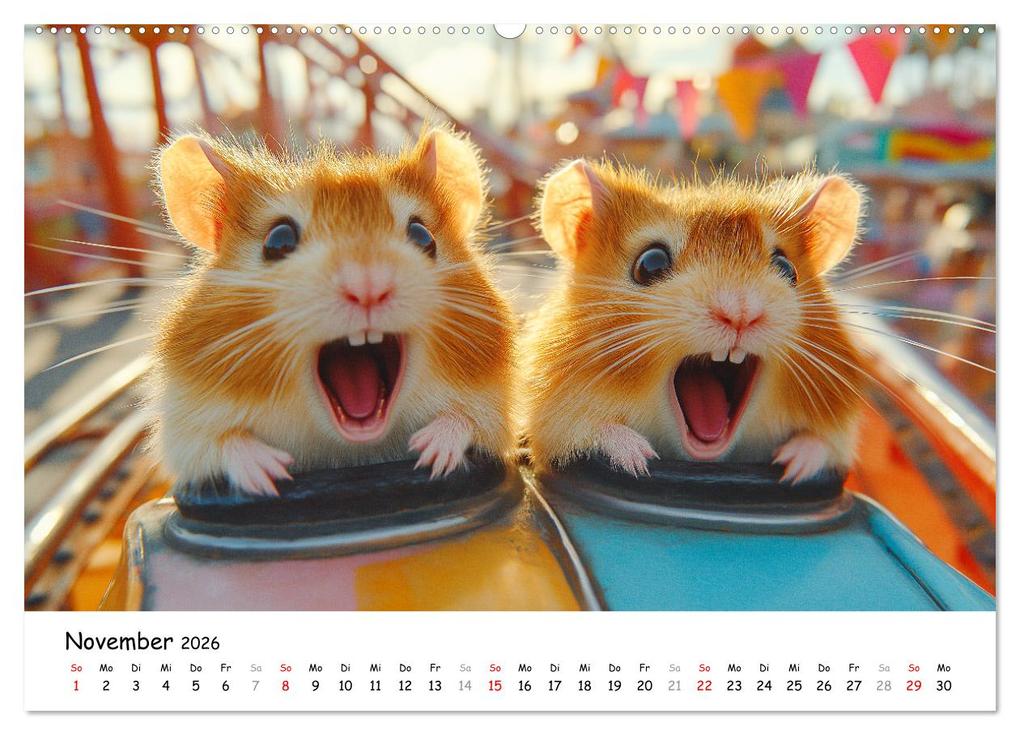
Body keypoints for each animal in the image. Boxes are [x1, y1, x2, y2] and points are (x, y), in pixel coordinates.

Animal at [147, 126, 516, 496]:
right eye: (277, 240)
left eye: (422, 235)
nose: (368, 286)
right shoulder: (186, 431)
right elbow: (225, 442)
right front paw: (270, 475)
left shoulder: (493, 410)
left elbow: (465, 420)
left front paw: (431, 454)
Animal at [522, 159, 865, 483]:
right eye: (650, 263)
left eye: (787, 268)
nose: (740, 314)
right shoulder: (554, 419)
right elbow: (592, 431)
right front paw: (639, 460)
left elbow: (823, 443)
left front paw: (793, 465)